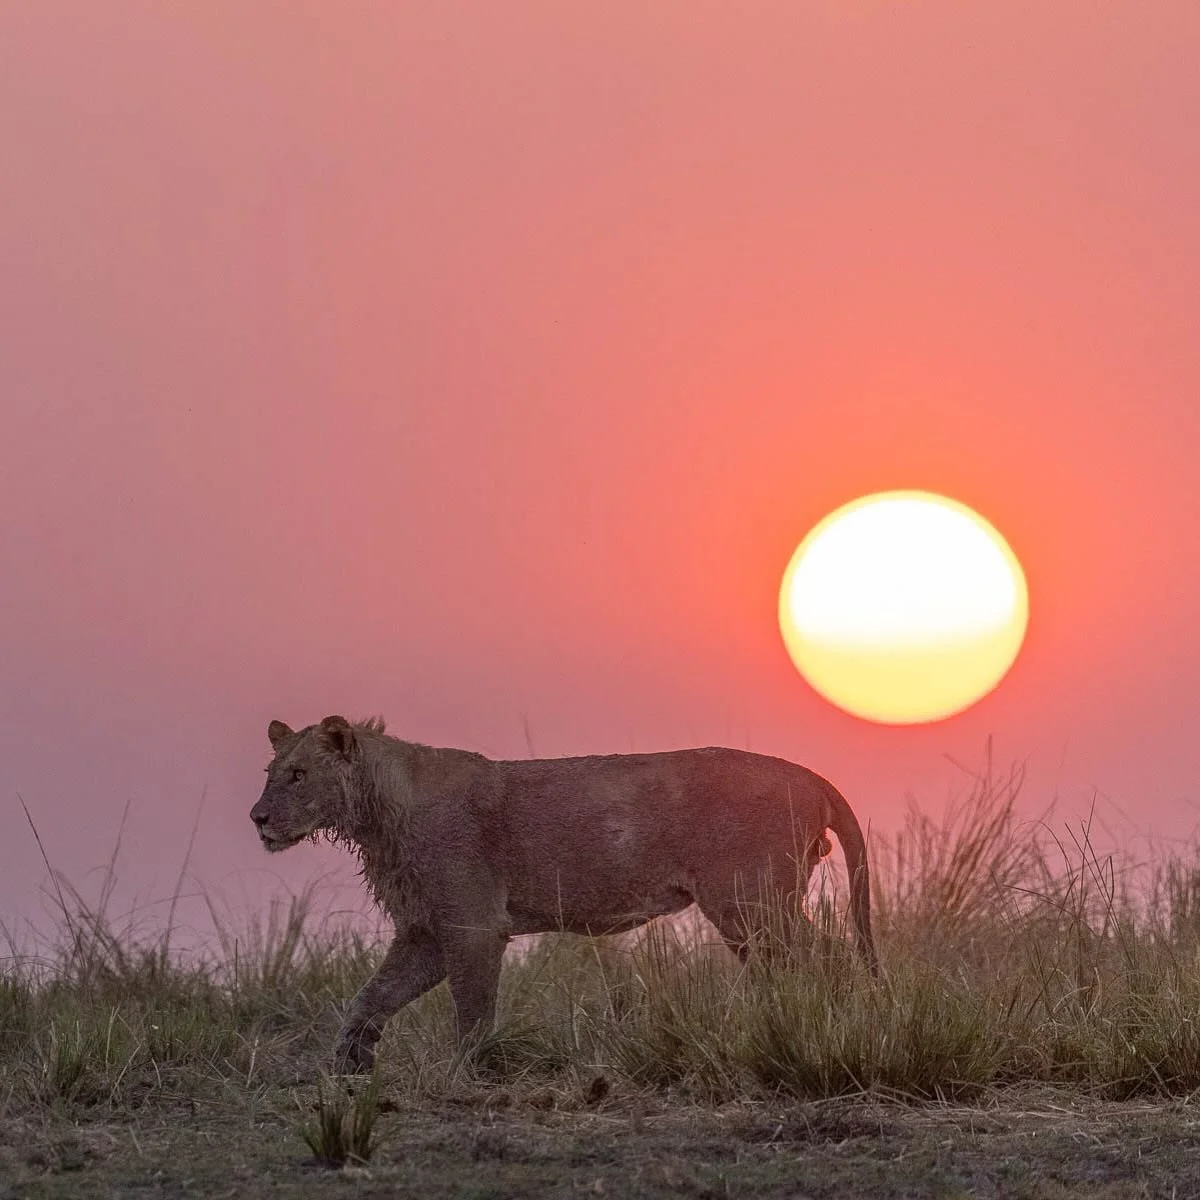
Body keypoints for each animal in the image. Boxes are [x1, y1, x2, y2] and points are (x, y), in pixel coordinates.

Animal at [250, 715, 877, 1071]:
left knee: (823, 957)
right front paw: (349, 1066)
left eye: (299, 775)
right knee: (789, 967)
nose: (257, 818)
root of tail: (810, 775)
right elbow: (370, 997)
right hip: (753, 912)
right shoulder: (425, 931)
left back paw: (825, 1026)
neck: (376, 814)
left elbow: (472, 1008)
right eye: (271, 773)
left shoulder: (474, 926)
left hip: (750, 902)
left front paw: (465, 1073)